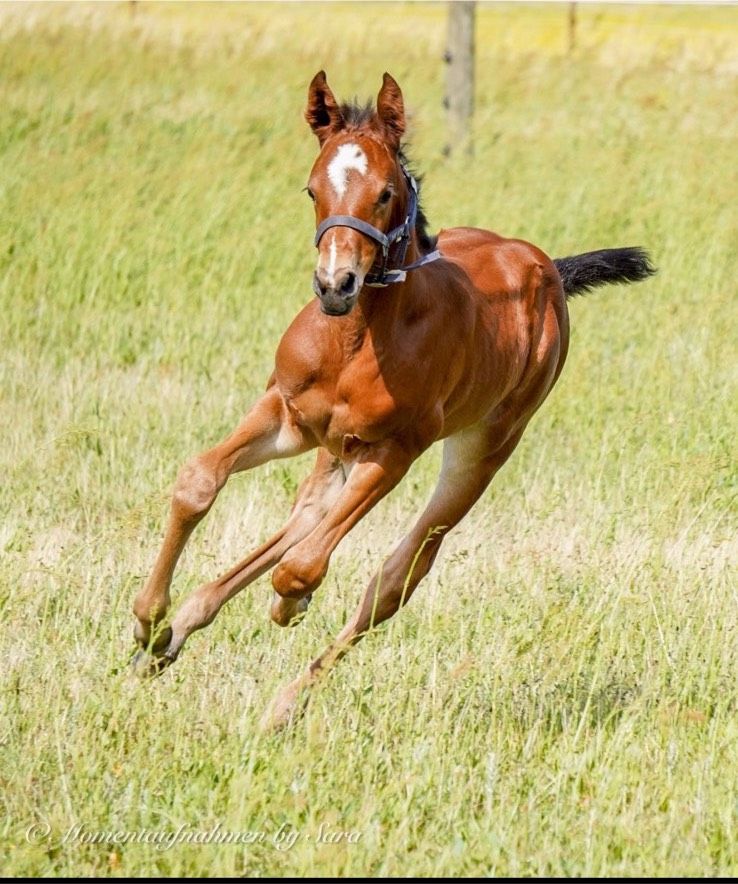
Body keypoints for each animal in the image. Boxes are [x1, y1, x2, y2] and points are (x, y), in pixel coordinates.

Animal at [131, 72, 648, 728]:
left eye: (384, 193)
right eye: (312, 189)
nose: (335, 284)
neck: (355, 340)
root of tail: (547, 268)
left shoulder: (394, 451)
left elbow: (307, 566)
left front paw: (286, 605)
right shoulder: (286, 415)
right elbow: (200, 481)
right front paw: (149, 624)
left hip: (480, 450)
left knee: (393, 577)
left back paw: (284, 698)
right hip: (331, 448)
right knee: (303, 519)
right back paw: (175, 636)